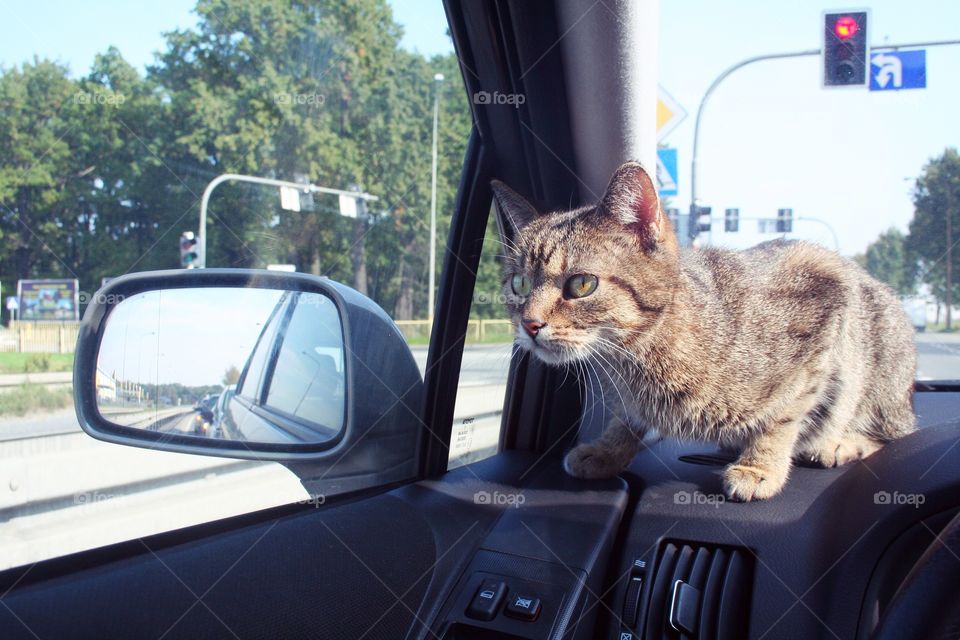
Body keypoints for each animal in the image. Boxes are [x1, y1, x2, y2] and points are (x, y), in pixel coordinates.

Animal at [492, 164, 920, 500]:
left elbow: (783, 417)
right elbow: (627, 419)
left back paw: (841, 442)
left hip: (881, 358)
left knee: (895, 429)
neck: (640, 356)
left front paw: (760, 466)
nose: (529, 324)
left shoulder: (823, 309)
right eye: (519, 284)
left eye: (581, 284)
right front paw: (609, 449)